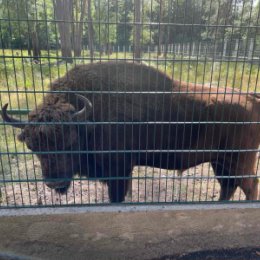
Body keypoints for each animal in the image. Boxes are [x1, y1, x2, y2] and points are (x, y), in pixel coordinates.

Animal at [1, 61, 258, 203]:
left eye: (71, 141)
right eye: (32, 146)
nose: (56, 184)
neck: (90, 119)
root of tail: (250, 98)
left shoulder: (119, 172)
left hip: (239, 162)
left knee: (249, 185)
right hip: (220, 162)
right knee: (228, 186)